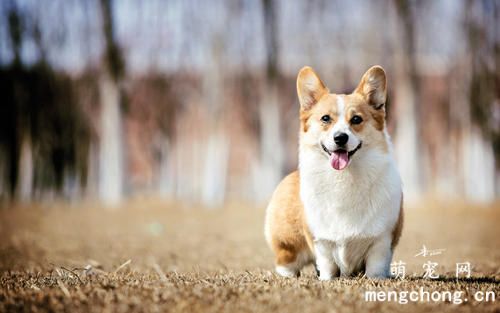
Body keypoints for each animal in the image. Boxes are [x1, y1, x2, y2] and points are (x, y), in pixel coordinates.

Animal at [266, 65, 402, 278]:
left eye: (356, 119)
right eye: (325, 118)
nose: (340, 138)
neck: (344, 177)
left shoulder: (381, 240)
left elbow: (376, 266)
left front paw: (377, 279)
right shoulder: (321, 242)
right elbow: (327, 265)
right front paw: (326, 280)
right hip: (289, 245)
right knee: (286, 263)